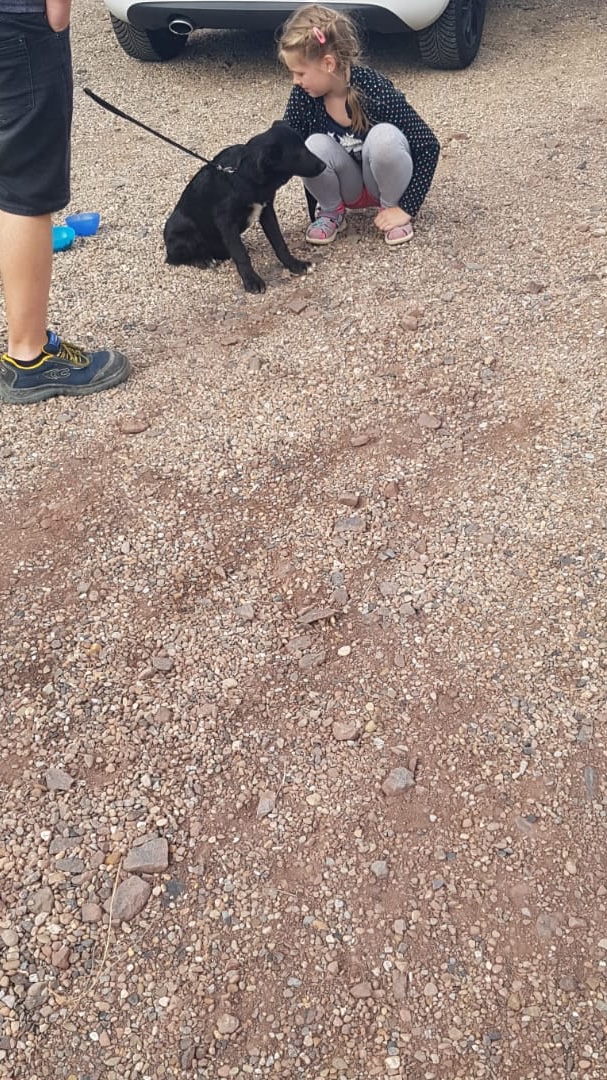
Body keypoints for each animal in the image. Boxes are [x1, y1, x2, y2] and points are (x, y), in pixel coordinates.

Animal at [163, 121, 325, 294]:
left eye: (304, 146)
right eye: (298, 154)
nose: (324, 165)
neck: (243, 174)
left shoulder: (266, 211)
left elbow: (279, 243)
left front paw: (295, 265)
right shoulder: (226, 222)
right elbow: (241, 255)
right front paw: (251, 281)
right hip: (184, 232)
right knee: (175, 259)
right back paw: (204, 260)